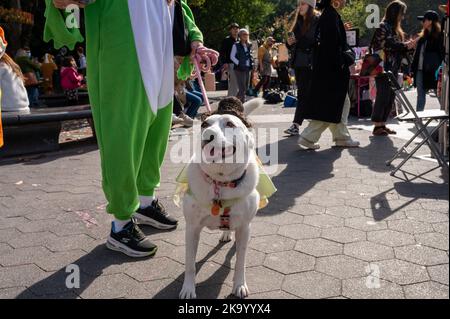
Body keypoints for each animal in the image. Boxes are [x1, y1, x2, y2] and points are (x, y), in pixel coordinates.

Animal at [178, 97, 264, 300]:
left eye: (230, 124)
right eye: (204, 124)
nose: (207, 134)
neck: (220, 182)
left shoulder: (244, 227)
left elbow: (241, 260)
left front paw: (239, 285)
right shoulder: (191, 228)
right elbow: (190, 264)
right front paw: (188, 288)